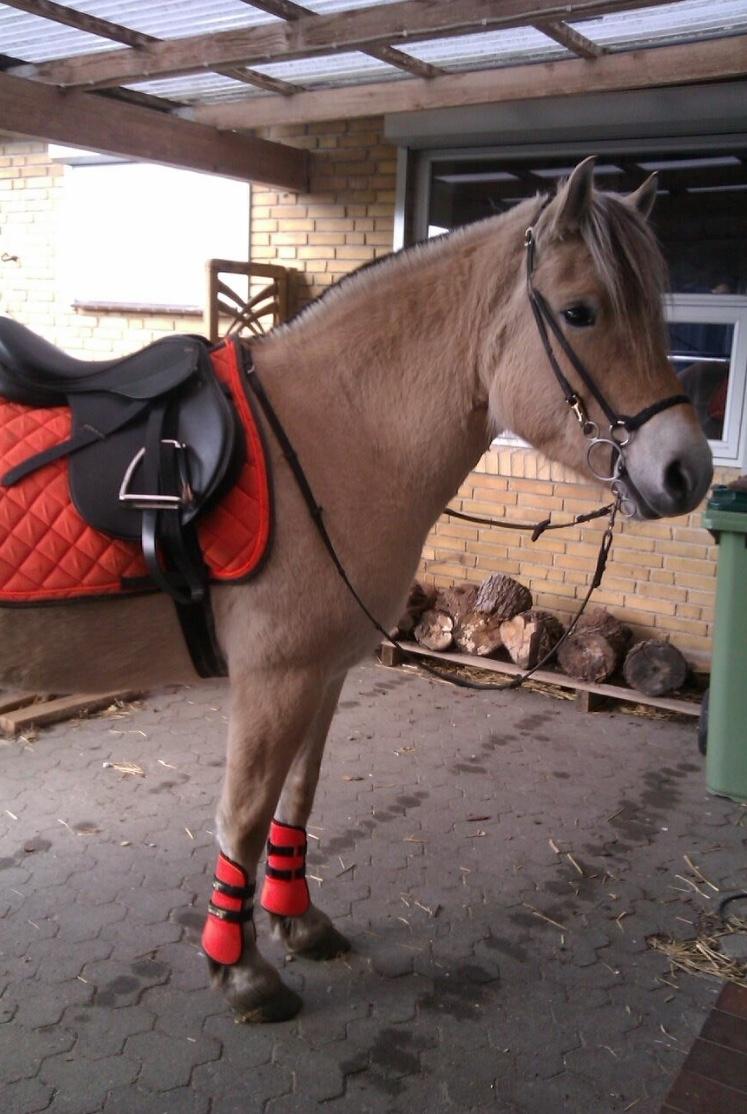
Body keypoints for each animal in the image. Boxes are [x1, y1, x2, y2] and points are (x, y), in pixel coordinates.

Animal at [0, 157, 712, 1020]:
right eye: (581, 312)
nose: (685, 472)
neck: (329, 436)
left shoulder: (324, 673)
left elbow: (296, 801)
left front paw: (296, 921)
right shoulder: (274, 680)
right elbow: (242, 817)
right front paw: (240, 968)